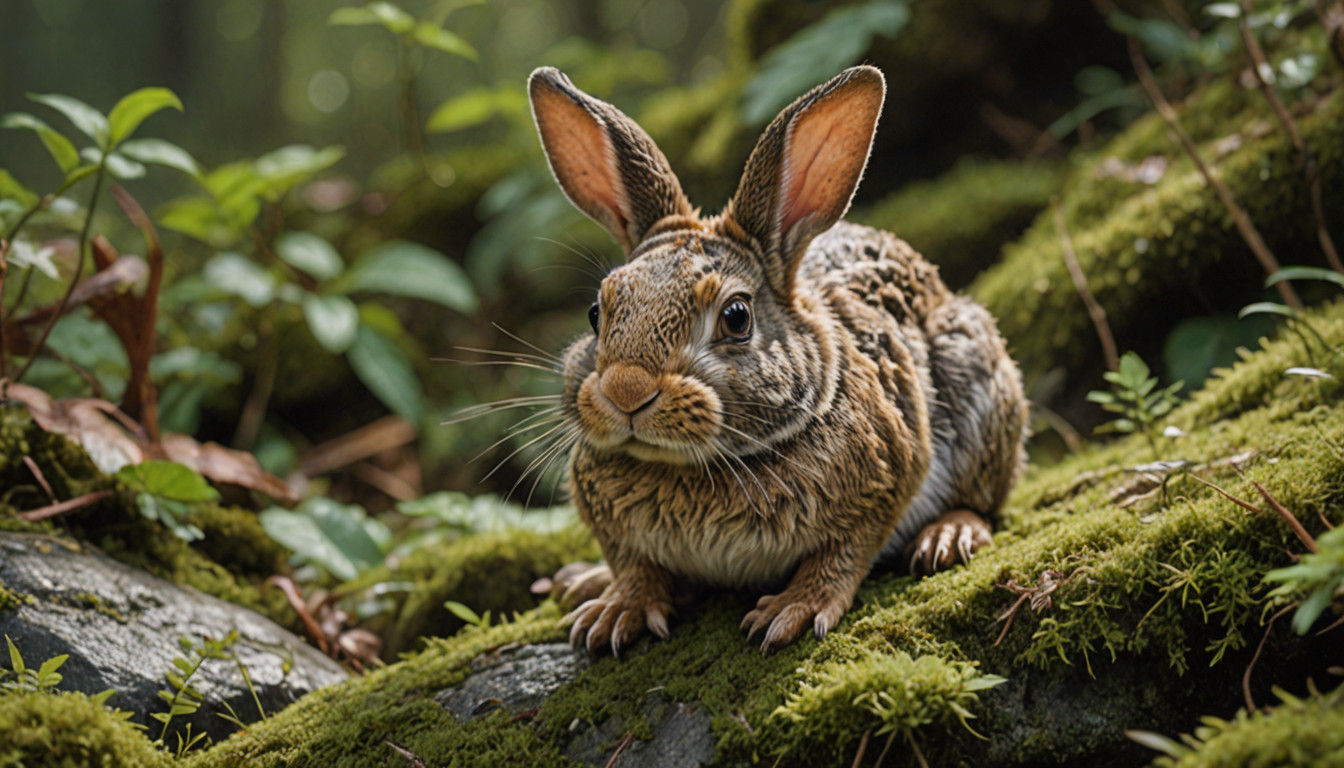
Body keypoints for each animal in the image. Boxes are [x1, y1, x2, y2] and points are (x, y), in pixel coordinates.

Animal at [525, 64, 1028, 655]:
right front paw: (615, 612)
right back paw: (582, 582)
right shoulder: (616, 534)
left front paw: (790, 611)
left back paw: (947, 536)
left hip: (975, 381)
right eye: (596, 312)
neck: (688, 464)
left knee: (984, 496)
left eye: (736, 317)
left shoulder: (887, 478)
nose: (626, 391)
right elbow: (634, 566)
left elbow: (840, 555)